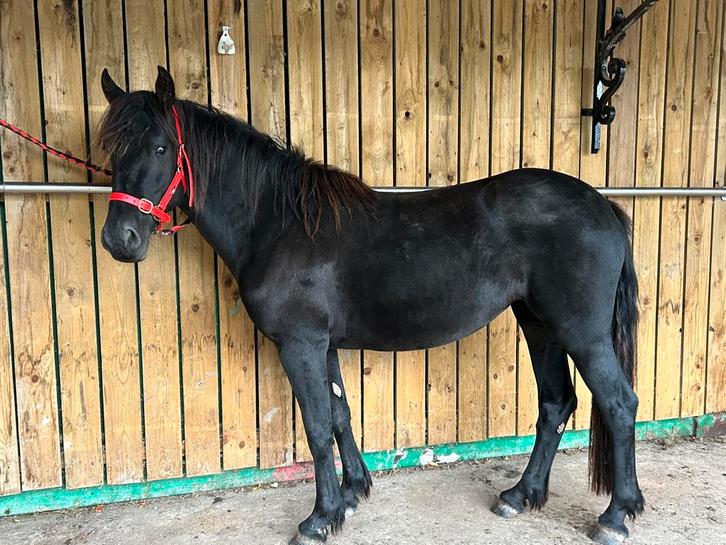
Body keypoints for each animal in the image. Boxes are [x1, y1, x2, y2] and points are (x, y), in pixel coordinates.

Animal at [97, 66, 643, 545]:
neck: (279, 223)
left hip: (581, 332)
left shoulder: (300, 344)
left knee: (619, 404)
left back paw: (615, 516)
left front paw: (321, 518)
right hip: (538, 323)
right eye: (110, 151)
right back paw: (521, 495)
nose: (119, 240)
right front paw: (353, 492)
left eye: (161, 147)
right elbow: (340, 415)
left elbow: (317, 426)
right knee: (556, 403)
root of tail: (604, 207)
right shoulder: (323, 346)